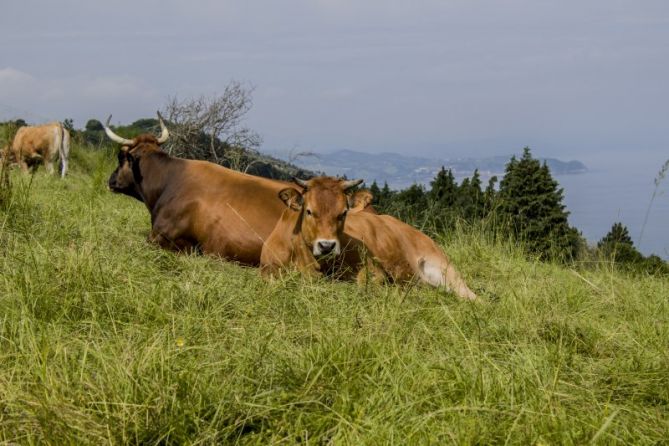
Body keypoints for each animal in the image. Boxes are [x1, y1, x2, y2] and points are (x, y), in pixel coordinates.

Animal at [260, 176, 474, 302]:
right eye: (309, 211)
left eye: (343, 213)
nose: (327, 246)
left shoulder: (373, 270)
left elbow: (366, 284)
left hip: (446, 271)